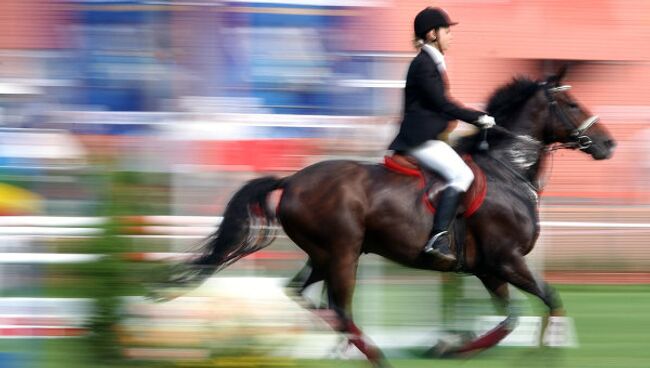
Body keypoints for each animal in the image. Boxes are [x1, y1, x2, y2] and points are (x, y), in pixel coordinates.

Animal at [162, 69, 612, 368]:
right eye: (573, 104)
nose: (608, 144)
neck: (508, 169)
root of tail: (293, 179)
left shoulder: (487, 268)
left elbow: (511, 317)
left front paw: (446, 347)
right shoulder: (506, 260)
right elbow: (550, 300)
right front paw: (543, 347)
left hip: (325, 254)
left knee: (303, 295)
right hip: (343, 253)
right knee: (340, 308)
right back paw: (375, 355)